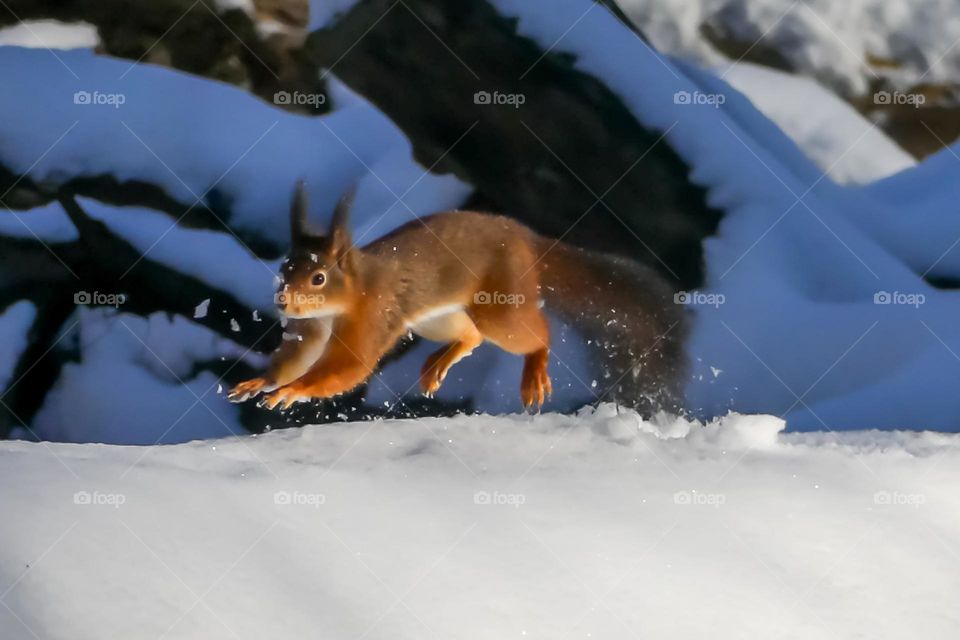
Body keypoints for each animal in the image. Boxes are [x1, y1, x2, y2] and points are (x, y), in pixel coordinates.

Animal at [228, 182, 686, 412]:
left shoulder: (374, 315)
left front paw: (293, 391)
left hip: (499, 308)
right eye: (286, 267)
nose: (283, 301)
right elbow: (297, 358)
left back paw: (534, 374)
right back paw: (437, 367)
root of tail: (525, 239)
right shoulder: (309, 330)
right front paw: (262, 381)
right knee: (471, 335)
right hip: (437, 318)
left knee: (535, 333)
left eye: (319, 277)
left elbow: (348, 367)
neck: (343, 301)